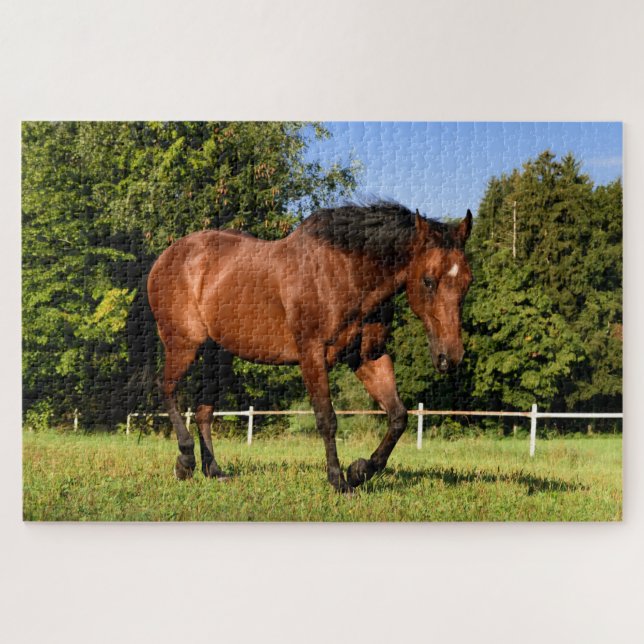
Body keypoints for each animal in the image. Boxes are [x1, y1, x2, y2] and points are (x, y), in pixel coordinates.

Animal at [147, 202, 473, 492]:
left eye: (468, 282)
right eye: (428, 281)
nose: (450, 357)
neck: (345, 274)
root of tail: (167, 257)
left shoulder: (368, 358)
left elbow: (398, 417)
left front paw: (360, 471)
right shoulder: (312, 355)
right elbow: (327, 419)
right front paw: (339, 481)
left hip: (220, 355)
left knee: (204, 411)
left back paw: (214, 471)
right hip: (183, 345)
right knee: (166, 388)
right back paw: (185, 460)